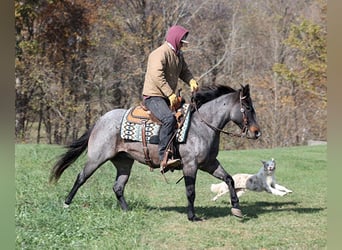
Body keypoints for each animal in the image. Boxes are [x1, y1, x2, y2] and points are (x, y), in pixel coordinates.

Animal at [49, 83, 260, 221]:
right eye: (247, 107)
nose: (257, 132)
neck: (201, 126)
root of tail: (101, 120)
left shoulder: (209, 164)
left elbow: (229, 179)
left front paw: (236, 208)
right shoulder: (190, 165)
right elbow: (190, 191)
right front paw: (192, 216)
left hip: (124, 163)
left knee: (118, 187)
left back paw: (127, 210)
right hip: (96, 158)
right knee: (81, 177)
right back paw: (66, 203)